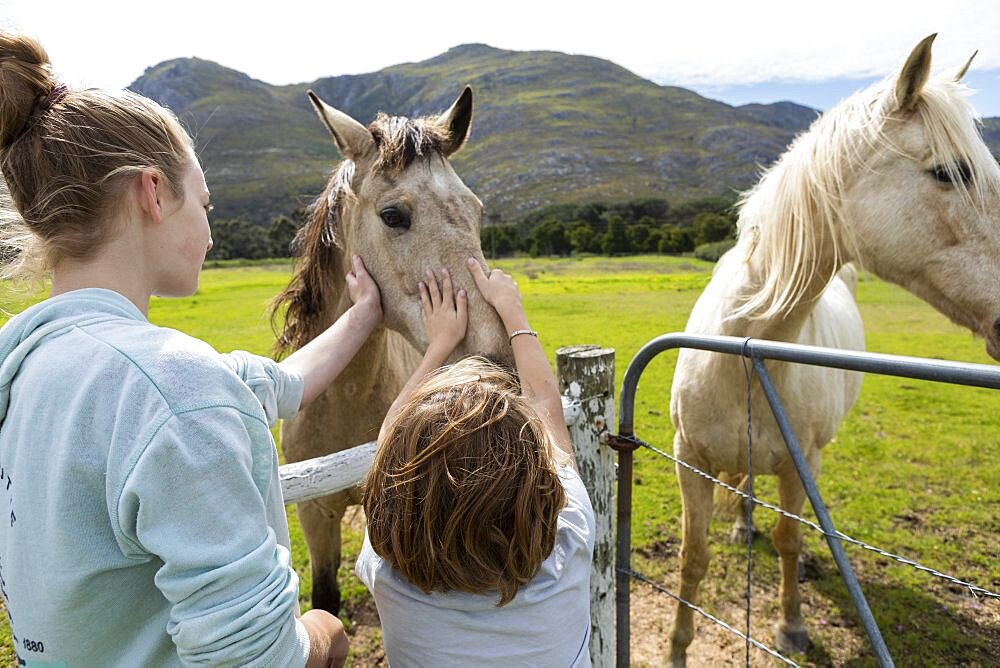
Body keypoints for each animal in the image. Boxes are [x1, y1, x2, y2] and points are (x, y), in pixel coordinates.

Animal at [272, 88, 512, 616]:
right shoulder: (314, 512)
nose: (495, 362)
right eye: (394, 215)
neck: (344, 399)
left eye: (477, 211)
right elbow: (325, 598)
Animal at [672, 36, 1000, 664]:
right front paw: (678, 646)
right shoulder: (689, 461)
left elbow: (788, 539)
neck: (746, 350)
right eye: (950, 173)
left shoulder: (797, 465)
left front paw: (792, 625)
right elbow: (691, 559)